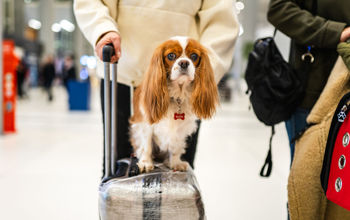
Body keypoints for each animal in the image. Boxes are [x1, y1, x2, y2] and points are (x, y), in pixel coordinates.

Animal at [129, 36, 216, 173]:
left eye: (194, 56)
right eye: (171, 56)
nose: (184, 63)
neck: (177, 94)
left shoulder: (181, 129)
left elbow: (175, 147)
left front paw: (175, 163)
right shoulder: (145, 124)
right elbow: (146, 145)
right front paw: (145, 162)